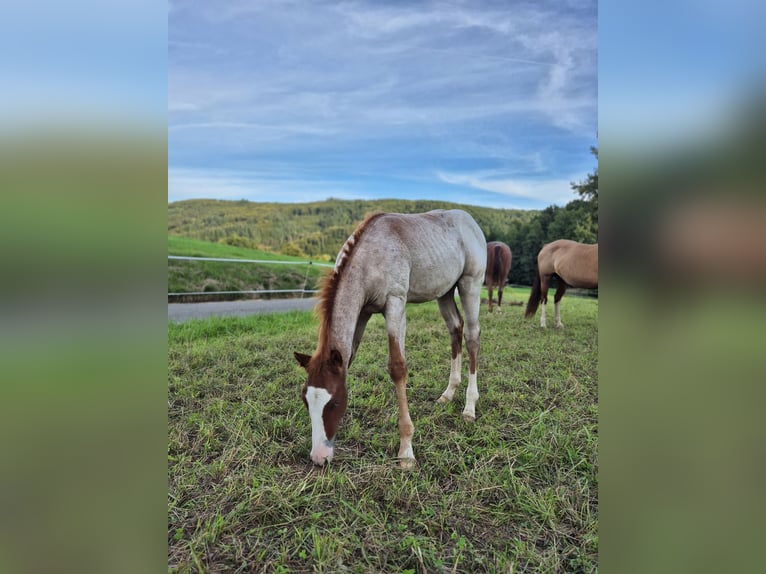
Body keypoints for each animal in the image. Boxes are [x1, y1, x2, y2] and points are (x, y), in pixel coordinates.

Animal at [294, 210, 487, 468]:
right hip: (445, 291)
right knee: (455, 329)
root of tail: (470, 220)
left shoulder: (396, 303)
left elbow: (397, 367)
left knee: (472, 337)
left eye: (333, 402)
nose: (318, 457)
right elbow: (349, 357)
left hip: (470, 284)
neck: (369, 257)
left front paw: (406, 450)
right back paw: (448, 393)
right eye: (306, 401)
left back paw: (469, 407)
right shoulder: (363, 312)